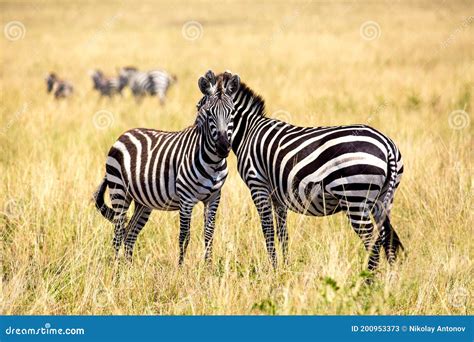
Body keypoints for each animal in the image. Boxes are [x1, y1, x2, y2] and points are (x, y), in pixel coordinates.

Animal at [93, 69, 241, 262]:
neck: (213, 163)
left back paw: (128, 268)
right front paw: (181, 268)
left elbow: (209, 235)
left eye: (231, 113)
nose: (224, 147)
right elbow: (184, 237)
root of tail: (124, 134)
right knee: (118, 234)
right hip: (119, 192)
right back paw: (117, 268)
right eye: (209, 113)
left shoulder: (214, 198)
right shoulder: (186, 200)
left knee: (130, 234)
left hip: (143, 202)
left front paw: (209, 266)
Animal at [199, 73, 404, 272]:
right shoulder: (277, 194)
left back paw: (369, 279)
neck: (248, 132)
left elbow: (268, 230)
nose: (222, 148)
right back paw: (390, 280)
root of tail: (386, 144)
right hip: (383, 199)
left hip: (355, 198)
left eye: (230, 113)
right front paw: (285, 268)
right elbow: (282, 233)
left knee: (373, 242)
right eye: (207, 112)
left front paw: (274, 270)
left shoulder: (257, 184)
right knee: (388, 240)